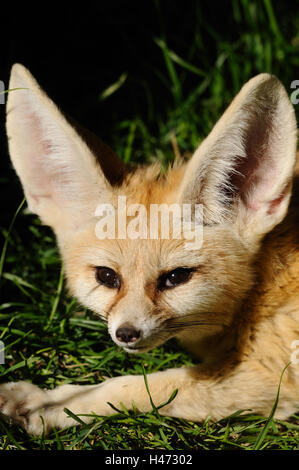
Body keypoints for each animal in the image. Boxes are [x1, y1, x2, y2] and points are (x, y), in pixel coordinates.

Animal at [0, 64, 299, 436]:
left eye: (177, 277)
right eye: (106, 277)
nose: (126, 333)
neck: (264, 287)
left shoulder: (272, 376)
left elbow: (133, 386)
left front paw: (47, 406)